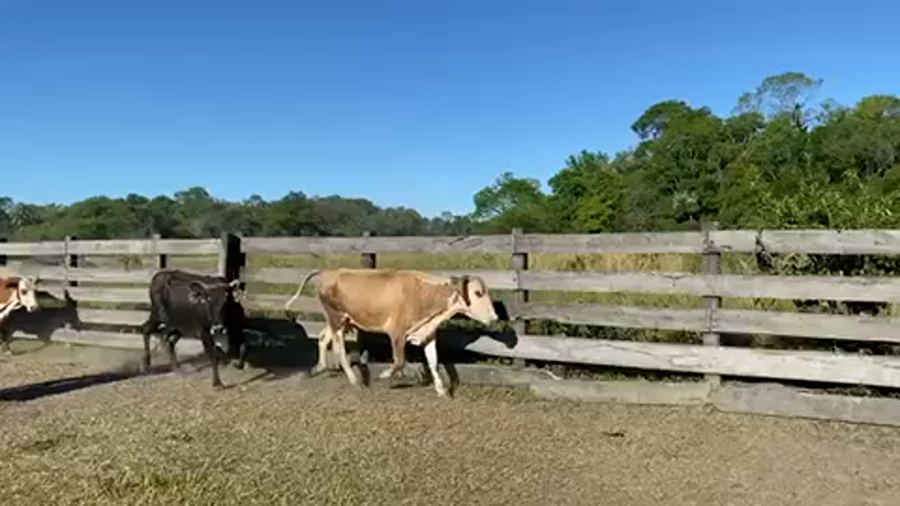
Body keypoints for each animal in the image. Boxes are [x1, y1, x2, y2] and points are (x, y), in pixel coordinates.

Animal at [284, 268, 499, 398]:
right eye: (478, 293)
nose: (495, 316)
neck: (424, 294)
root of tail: (329, 272)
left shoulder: (428, 334)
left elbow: (433, 362)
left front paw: (442, 390)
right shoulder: (397, 334)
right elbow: (399, 362)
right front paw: (384, 375)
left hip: (340, 320)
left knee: (322, 338)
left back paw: (318, 368)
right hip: (337, 319)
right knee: (339, 350)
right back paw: (355, 381)